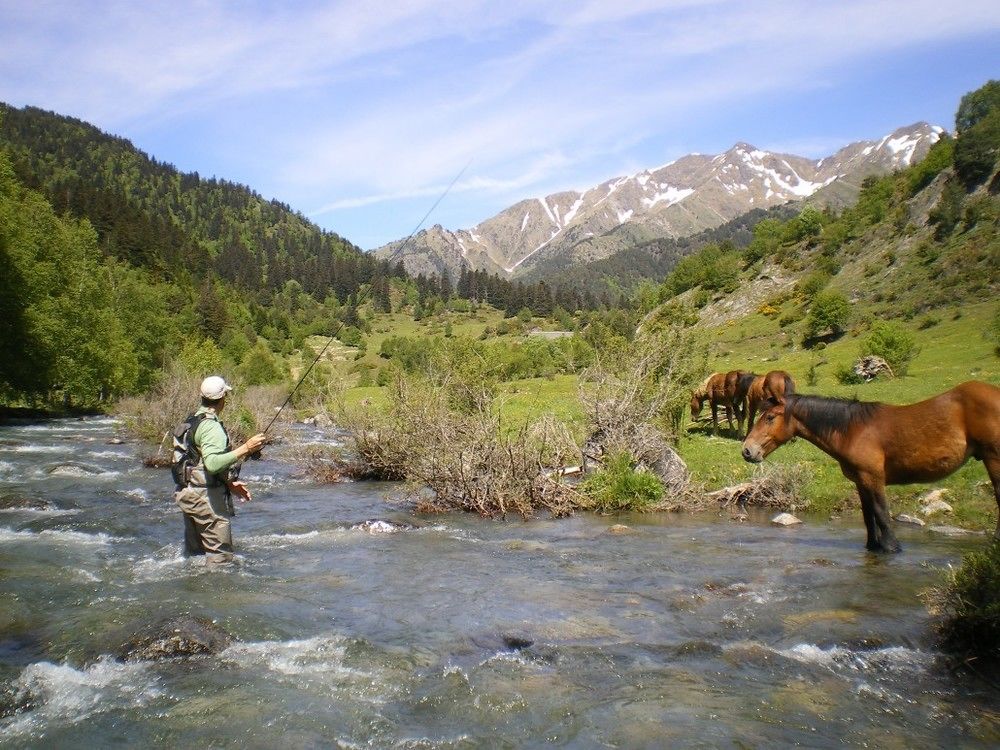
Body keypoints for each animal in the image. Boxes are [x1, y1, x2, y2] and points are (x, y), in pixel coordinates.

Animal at [744, 382, 1000, 552]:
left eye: (769, 417)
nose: (747, 450)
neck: (853, 430)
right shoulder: (861, 481)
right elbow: (869, 517)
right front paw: (874, 547)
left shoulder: (873, 478)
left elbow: (882, 515)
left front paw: (892, 548)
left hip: (994, 458)